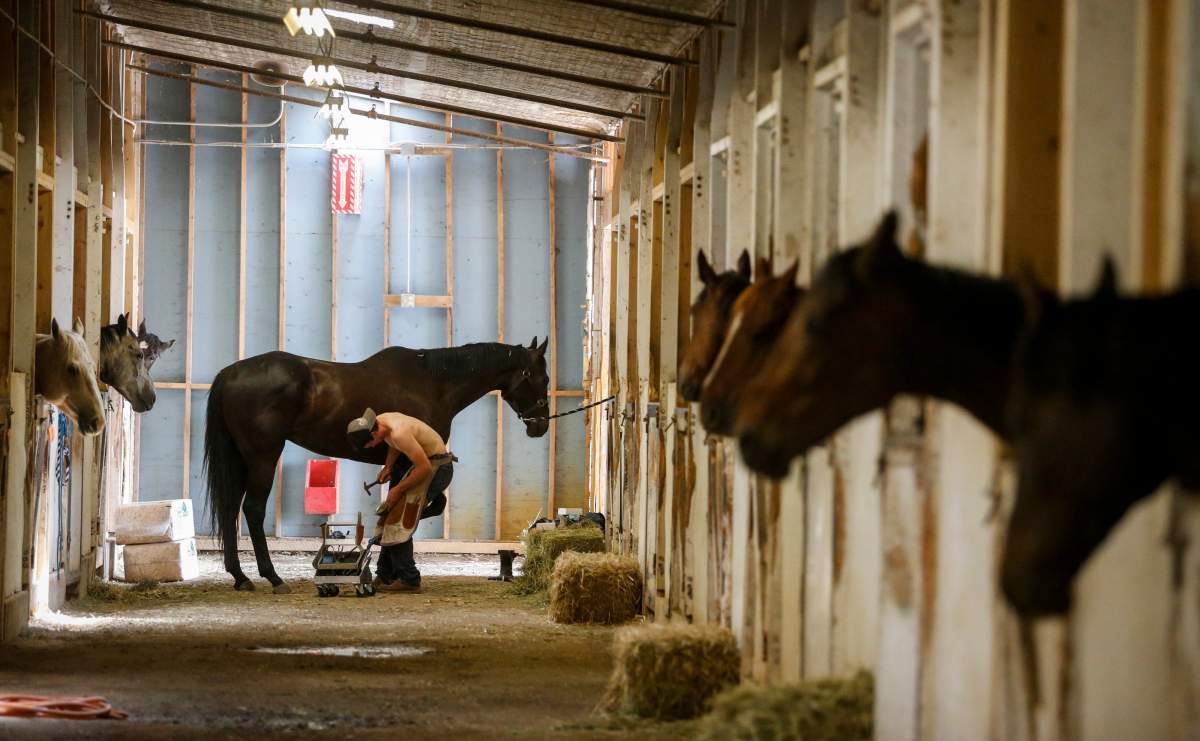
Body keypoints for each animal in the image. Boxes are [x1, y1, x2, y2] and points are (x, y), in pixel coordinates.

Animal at [204, 338, 551, 592]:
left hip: (241, 459)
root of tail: (229, 374)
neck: (433, 382)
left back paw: (240, 577)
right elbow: (419, 506)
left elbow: (395, 506)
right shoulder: (412, 460)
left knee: (231, 508)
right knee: (252, 510)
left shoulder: (397, 462)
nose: (541, 425)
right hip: (263, 456)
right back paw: (272, 577)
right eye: (541, 377)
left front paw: (385, 566)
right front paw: (397, 568)